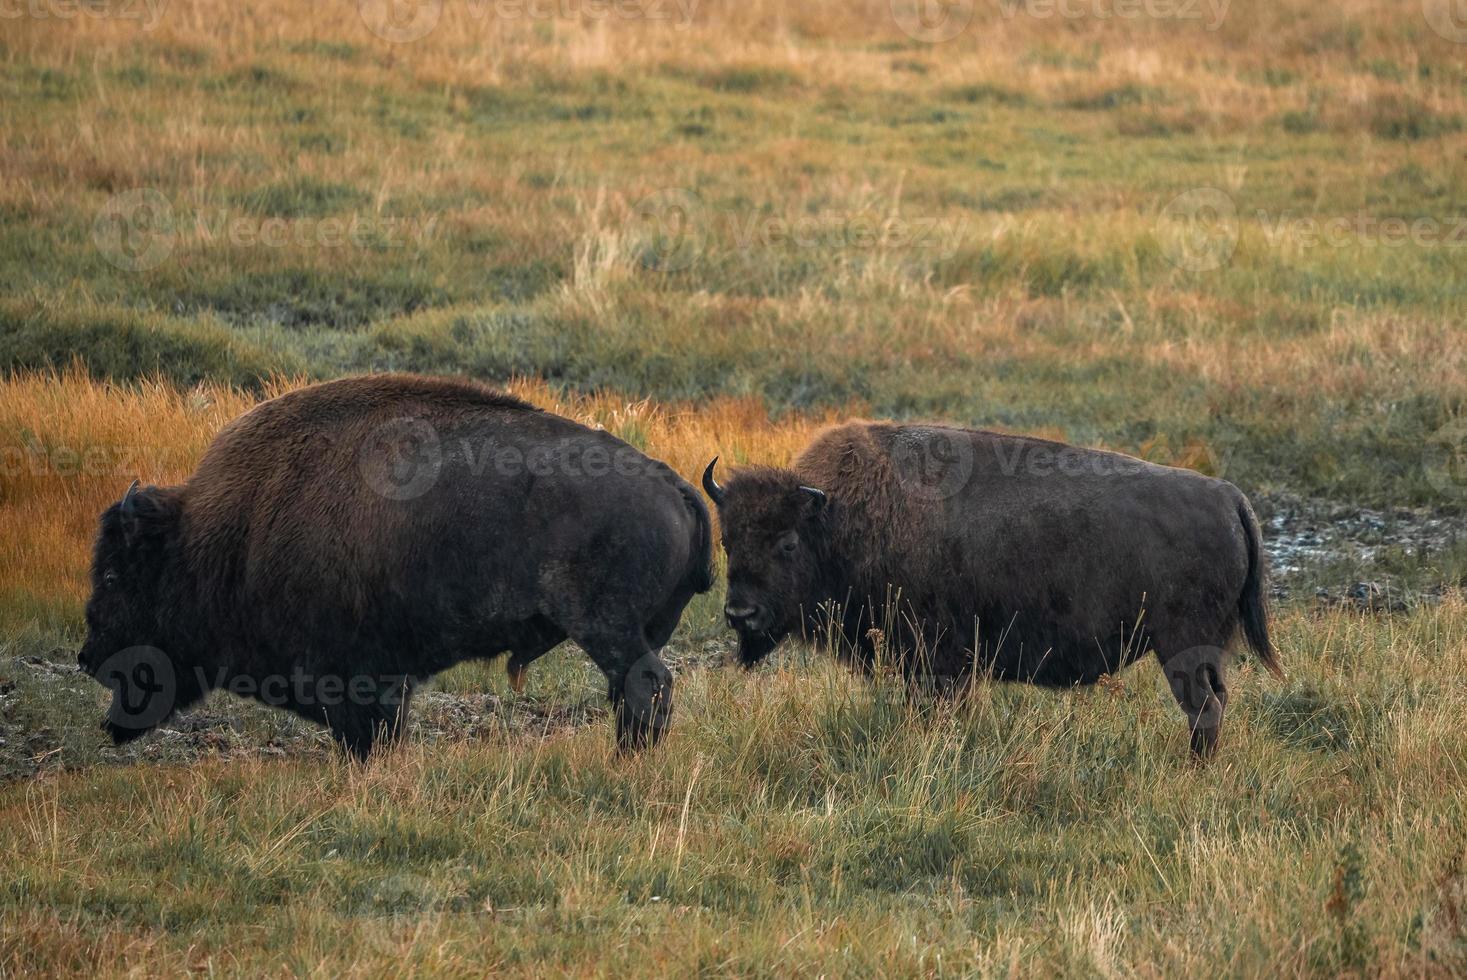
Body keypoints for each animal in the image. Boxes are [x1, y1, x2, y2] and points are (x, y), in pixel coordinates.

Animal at [78, 375, 710, 757]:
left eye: (113, 575)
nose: (88, 656)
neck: (223, 532)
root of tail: (671, 482)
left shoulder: (346, 674)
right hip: (636, 630)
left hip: (606, 627)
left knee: (645, 685)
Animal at [701, 422, 1285, 757]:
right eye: (728, 540)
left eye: (787, 543)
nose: (740, 614)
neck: (839, 518)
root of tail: (1229, 497)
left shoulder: (937, 662)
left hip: (1182, 648)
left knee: (1203, 708)